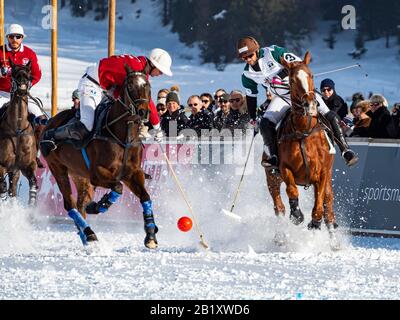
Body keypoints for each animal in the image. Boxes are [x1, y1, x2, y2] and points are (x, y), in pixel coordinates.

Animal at [0, 60, 37, 205]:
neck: (17, 129)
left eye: (29, 72)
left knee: (13, 189)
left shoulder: (27, 166)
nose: (23, 78)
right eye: (14, 71)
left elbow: (33, 184)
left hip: (14, 172)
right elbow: (3, 188)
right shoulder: (1, 165)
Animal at [41, 67, 158, 248]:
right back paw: (89, 233)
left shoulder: (133, 173)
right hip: (57, 168)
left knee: (80, 203)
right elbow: (118, 187)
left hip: (80, 175)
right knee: (69, 203)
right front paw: (99, 205)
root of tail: (49, 122)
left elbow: (145, 196)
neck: (122, 136)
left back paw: (85, 233)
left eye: (148, 86)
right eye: (130, 86)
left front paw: (151, 234)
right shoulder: (97, 174)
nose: (143, 112)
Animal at [266, 51, 338, 249]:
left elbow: (320, 205)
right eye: (291, 80)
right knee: (278, 207)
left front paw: (315, 222)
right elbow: (292, 191)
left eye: (311, 75)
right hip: (271, 177)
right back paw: (280, 236)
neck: (303, 131)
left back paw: (334, 241)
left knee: (328, 206)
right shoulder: (284, 169)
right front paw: (297, 215)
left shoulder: (322, 173)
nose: (310, 104)